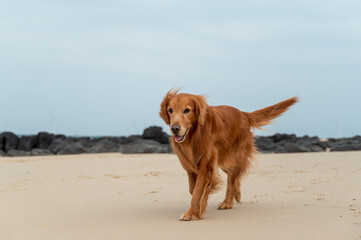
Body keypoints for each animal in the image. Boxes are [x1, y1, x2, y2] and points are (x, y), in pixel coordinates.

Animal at [159, 89, 296, 220]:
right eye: (170, 110)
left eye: (187, 110)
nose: (175, 128)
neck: (194, 136)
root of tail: (244, 114)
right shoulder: (190, 165)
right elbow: (193, 189)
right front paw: (199, 207)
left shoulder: (206, 166)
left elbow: (198, 190)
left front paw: (192, 213)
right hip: (223, 160)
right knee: (234, 176)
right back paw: (237, 194)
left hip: (234, 155)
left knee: (232, 178)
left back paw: (227, 202)